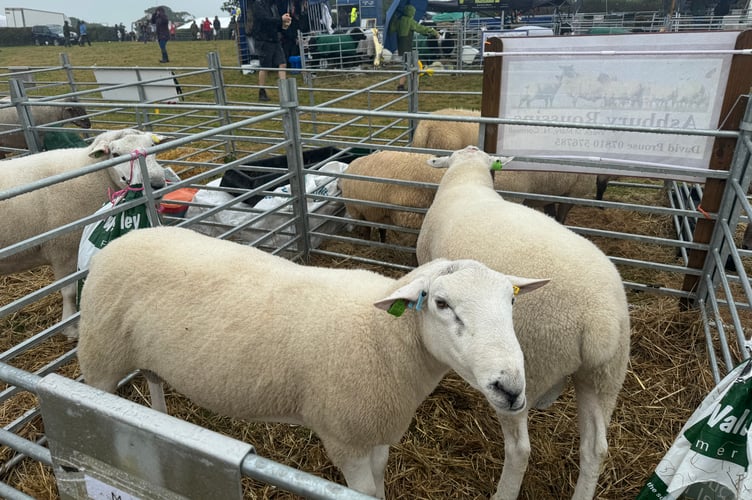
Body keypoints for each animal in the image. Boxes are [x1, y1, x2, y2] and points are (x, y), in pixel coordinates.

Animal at [0, 128, 168, 338]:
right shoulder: (63, 249)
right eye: (115, 154)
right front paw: (71, 327)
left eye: (152, 146)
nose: (157, 184)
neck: (92, 172)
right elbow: (69, 291)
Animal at [76, 225, 549, 498]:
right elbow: (364, 492)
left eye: (511, 300)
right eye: (441, 303)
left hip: (145, 355)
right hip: (99, 358)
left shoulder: (376, 425)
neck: (382, 335)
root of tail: (115, 244)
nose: (511, 388)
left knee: (153, 382)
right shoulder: (344, 436)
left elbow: (380, 478)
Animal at [415, 146, 631, 500]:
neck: (466, 179)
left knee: (519, 449)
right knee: (596, 448)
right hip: (606, 375)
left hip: (523, 372)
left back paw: (503, 491)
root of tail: (599, 319)